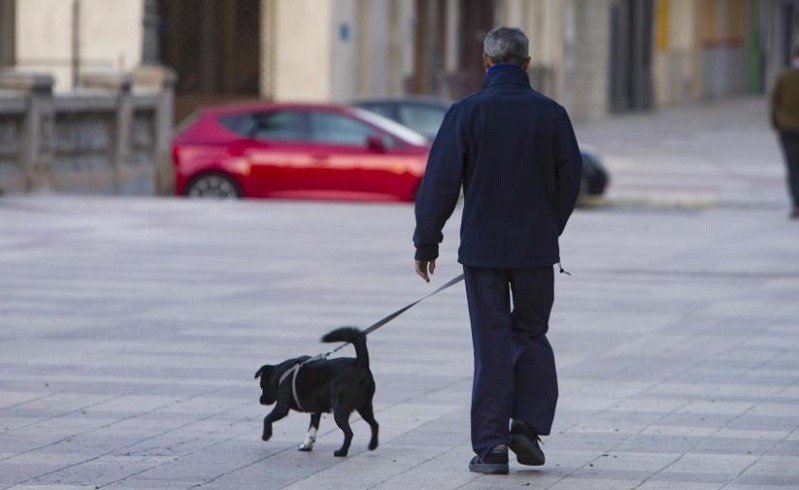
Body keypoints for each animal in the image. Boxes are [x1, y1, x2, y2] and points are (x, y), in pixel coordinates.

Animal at [256, 328, 382, 458]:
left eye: (261, 385)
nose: (260, 400)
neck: (280, 375)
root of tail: (359, 364)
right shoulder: (315, 410)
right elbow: (312, 429)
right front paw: (307, 445)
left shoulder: (282, 407)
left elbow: (267, 418)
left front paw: (266, 435)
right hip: (365, 406)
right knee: (375, 424)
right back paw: (372, 445)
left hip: (340, 410)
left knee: (349, 433)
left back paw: (341, 452)